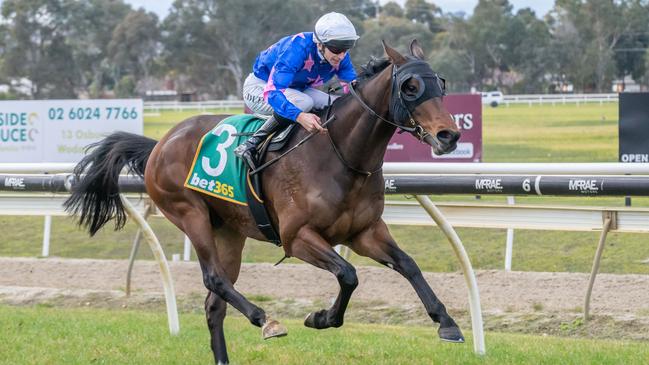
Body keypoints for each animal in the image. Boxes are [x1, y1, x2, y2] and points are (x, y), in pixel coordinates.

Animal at [66, 40, 460, 364]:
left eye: (441, 84)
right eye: (411, 87)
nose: (449, 135)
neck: (340, 153)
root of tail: (160, 143)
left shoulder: (365, 232)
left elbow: (408, 265)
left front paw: (447, 322)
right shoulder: (297, 237)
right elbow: (348, 274)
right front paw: (320, 318)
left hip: (229, 232)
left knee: (214, 305)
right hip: (189, 213)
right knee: (214, 279)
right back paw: (266, 319)